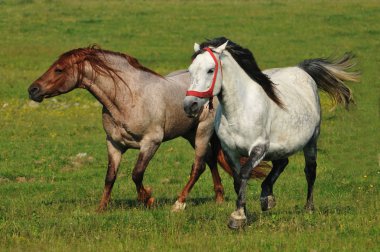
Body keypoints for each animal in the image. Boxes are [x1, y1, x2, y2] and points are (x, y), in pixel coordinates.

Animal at [27, 45, 270, 211]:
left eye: (59, 70)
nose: (33, 90)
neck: (127, 98)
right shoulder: (114, 144)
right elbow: (110, 176)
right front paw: (101, 208)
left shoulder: (151, 142)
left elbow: (136, 173)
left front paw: (148, 199)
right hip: (190, 133)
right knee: (210, 160)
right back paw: (219, 197)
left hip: (203, 131)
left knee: (198, 166)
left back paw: (179, 203)